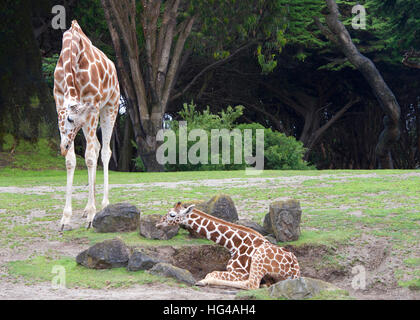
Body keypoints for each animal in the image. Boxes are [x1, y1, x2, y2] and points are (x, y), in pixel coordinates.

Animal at [54, 20, 120, 230]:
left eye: (71, 120)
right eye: (65, 121)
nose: (62, 147)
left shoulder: (92, 105)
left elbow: (90, 157)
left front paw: (92, 216)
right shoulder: (59, 101)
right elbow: (71, 161)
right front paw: (65, 218)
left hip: (111, 106)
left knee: (104, 150)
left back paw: (103, 205)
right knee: (96, 146)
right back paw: (87, 208)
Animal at [156, 202, 300, 290]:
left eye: (172, 215)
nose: (158, 224)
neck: (234, 244)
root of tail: (295, 270)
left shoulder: (240, 272)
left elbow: (211, 273)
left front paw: (203, 280)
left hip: (259, 258)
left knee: (251, 284)